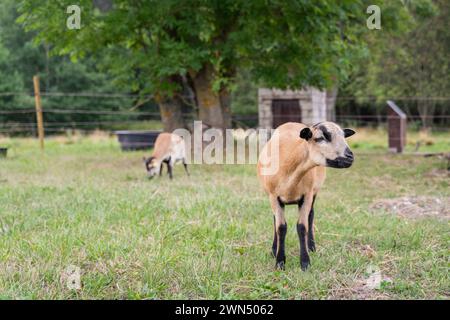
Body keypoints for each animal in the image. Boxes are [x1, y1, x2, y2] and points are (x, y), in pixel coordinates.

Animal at [256, 122, 356, 270]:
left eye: (344, 136)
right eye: (320, 138)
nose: (350, 157)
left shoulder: (306, 195)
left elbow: (302, 227)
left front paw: (305, 263)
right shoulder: (273, 196)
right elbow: (281, 227)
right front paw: (280, 262)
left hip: (314, 191)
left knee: (311, 215)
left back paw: (311, 247)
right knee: (275, 220)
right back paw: (274, 249)